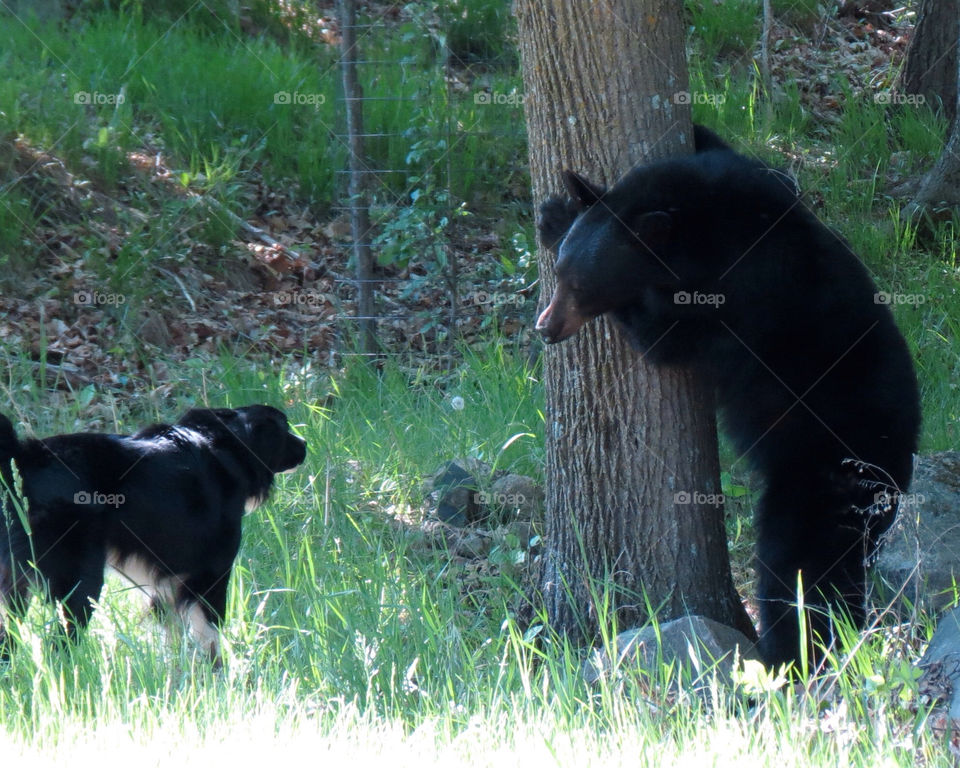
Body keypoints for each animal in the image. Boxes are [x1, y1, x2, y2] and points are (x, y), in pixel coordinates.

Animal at [0, 404, 306, 664]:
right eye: (285, 427)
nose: (305, 444)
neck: (231, 443)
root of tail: (24, 457)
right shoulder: (211, 573)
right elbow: (209, 633)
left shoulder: (167, 584)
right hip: (79, 579)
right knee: (61, 641)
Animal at [536, 124, 920, 664]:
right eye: (561, 276)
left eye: (581, 287)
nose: (545, 329)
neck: (705, 226)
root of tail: (896, 469)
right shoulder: (753, 181)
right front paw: (558, 207)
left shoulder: (733, 299)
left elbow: (662, 335)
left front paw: (555, 219)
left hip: (819, 487)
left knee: (802, 576)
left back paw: (791, 656)